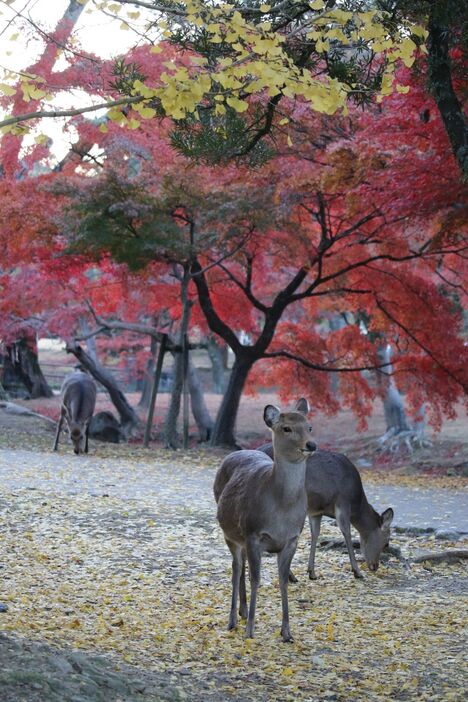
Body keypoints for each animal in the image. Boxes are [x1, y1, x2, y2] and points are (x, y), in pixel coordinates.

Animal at [214, 402, 316, 644]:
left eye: (309, 426)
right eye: (286, 428)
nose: (311, 445)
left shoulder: (292, 539)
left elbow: (283, 580)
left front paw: (287, 632)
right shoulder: (253, 533)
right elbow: (256, 579)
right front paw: (250, 630)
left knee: (240, 566)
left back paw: (242, 611)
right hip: (230, 534)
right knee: (236, 569)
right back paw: (233, 620)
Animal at [258, 448, 394, 580]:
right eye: (386, 543)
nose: (375, 566)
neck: (356, 504)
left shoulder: (316, 512)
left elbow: (315, 534)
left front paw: (312, 572)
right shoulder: (342, 503)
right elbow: (347, 533)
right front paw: (357, 572)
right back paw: (289, 575)